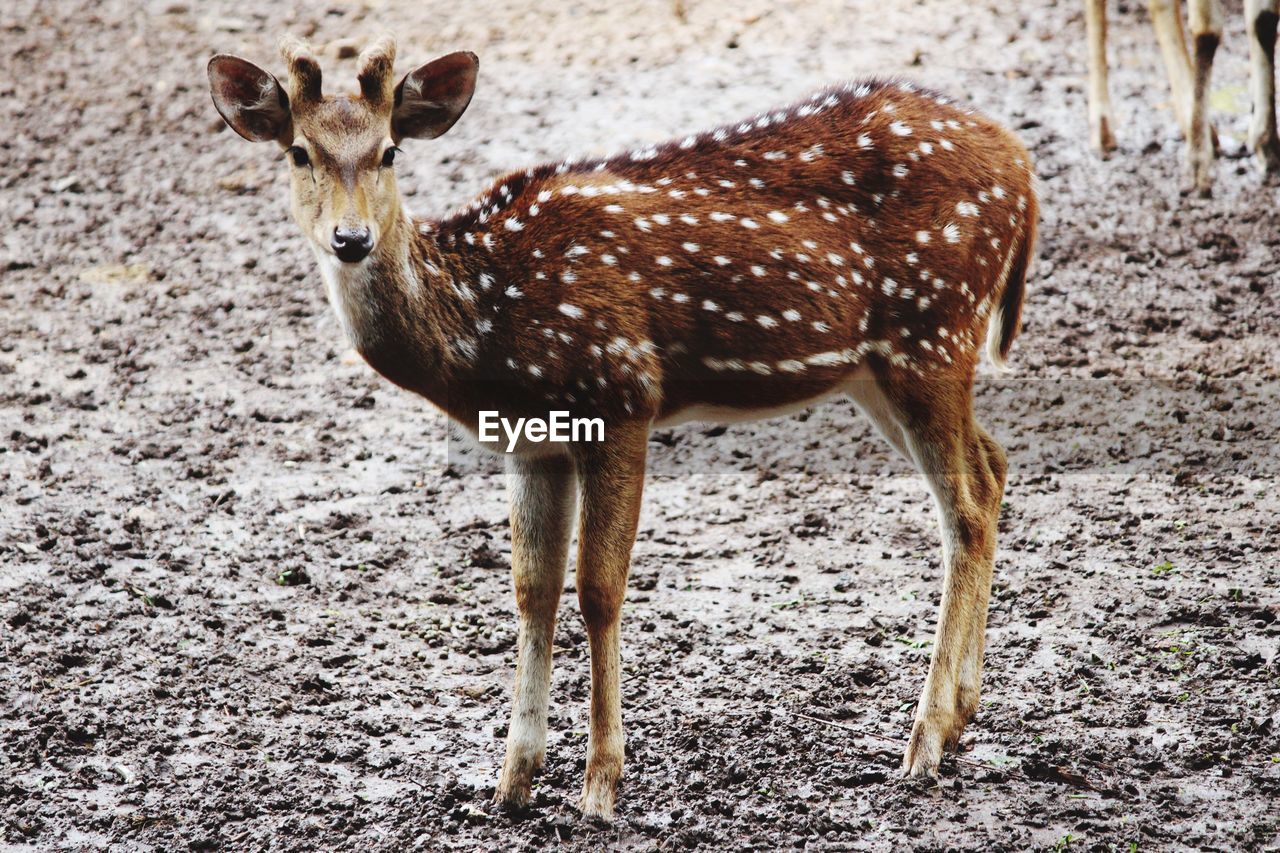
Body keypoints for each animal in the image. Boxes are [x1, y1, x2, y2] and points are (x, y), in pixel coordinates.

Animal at [204, 34, 1034, 819]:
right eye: (299, 151)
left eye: (388, 151)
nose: (350, 239)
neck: (486, 324)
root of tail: (1022, 168)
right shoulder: (531, 440)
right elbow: (531, 588)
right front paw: (512, 781)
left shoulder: (622, 392)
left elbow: (599, 588)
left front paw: (600, 782)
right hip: (879, 368)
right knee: (990, 470)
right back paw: (962, 714)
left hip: (933, 328)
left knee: (964, 501)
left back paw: (924, 740)